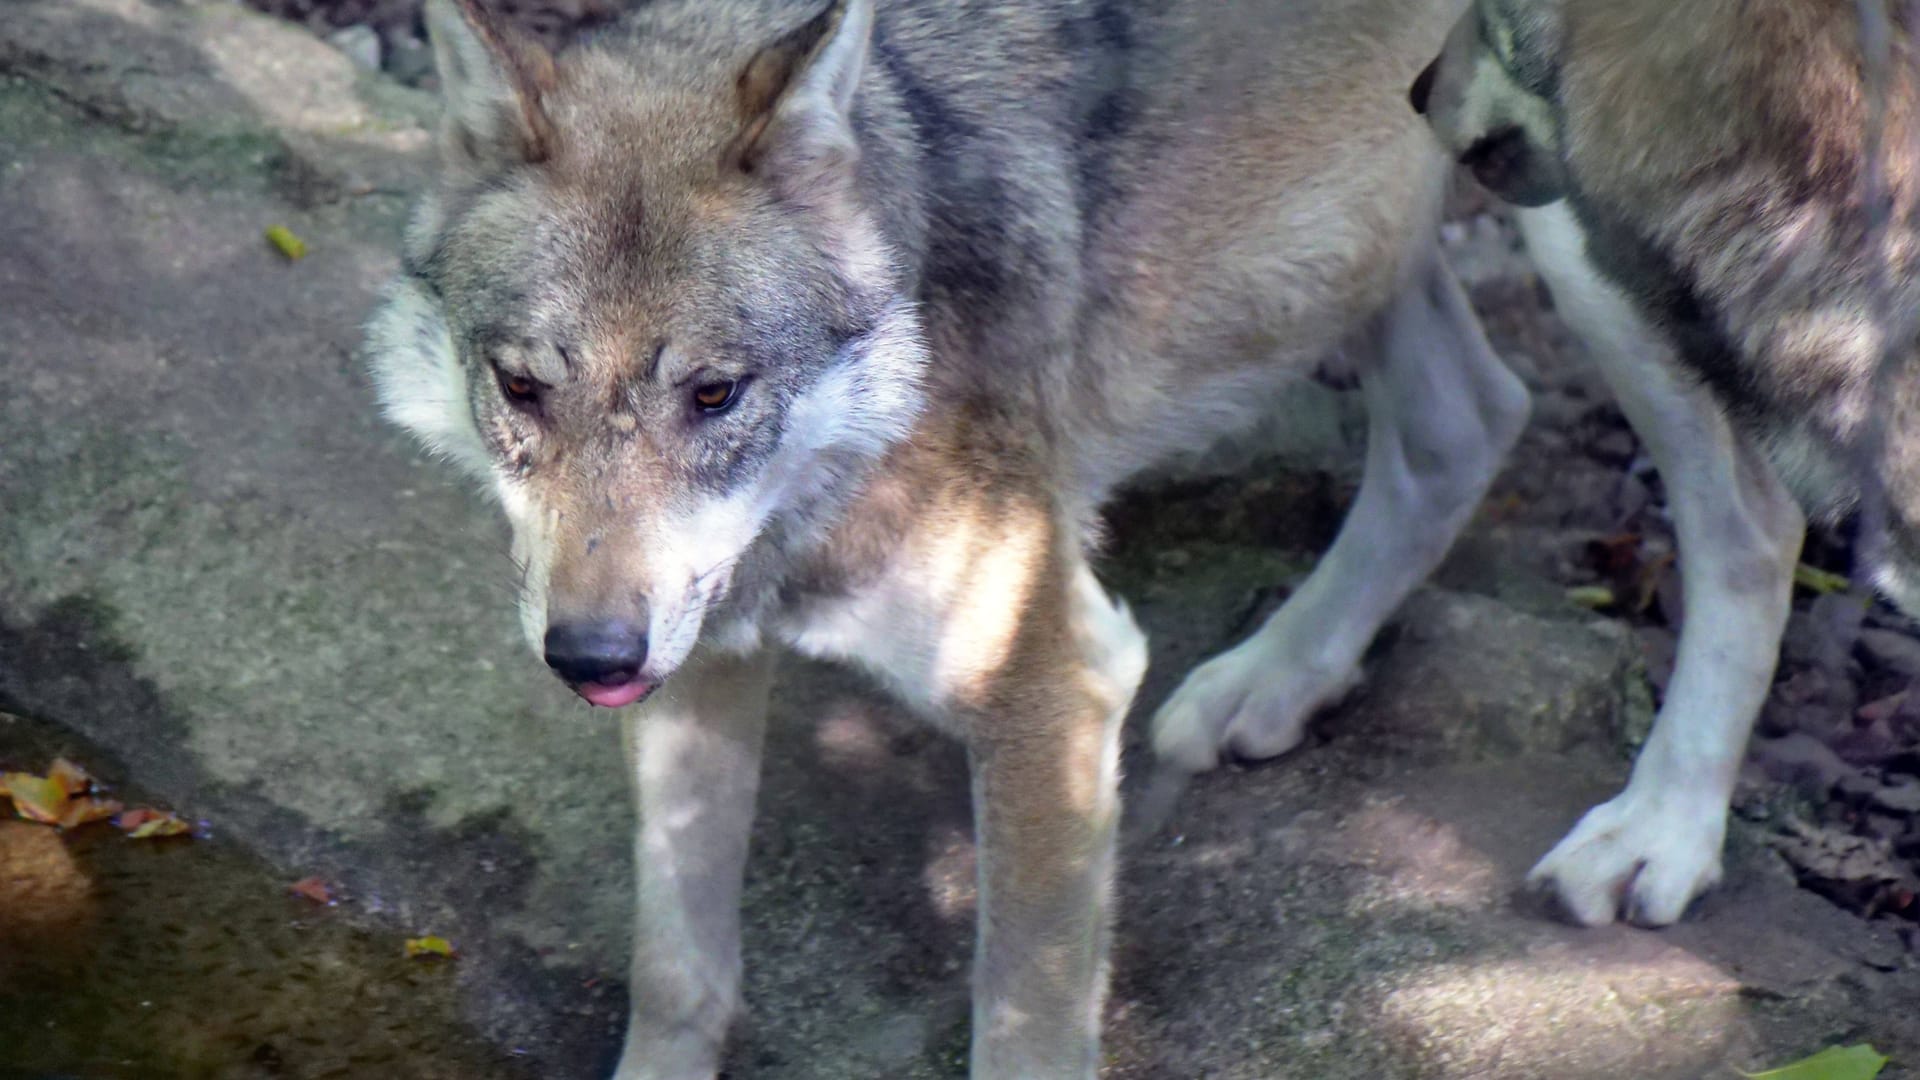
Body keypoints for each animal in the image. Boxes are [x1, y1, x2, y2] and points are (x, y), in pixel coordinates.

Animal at [362, 0, 1528, 1068]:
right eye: (522, 387)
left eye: (715, 393)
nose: (589, 656)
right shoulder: (698, 669)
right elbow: (676, 972)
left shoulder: (1056, 686)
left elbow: (1024, 1019)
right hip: (1373, 241)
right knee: (1469, 423)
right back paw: (1274, 682)